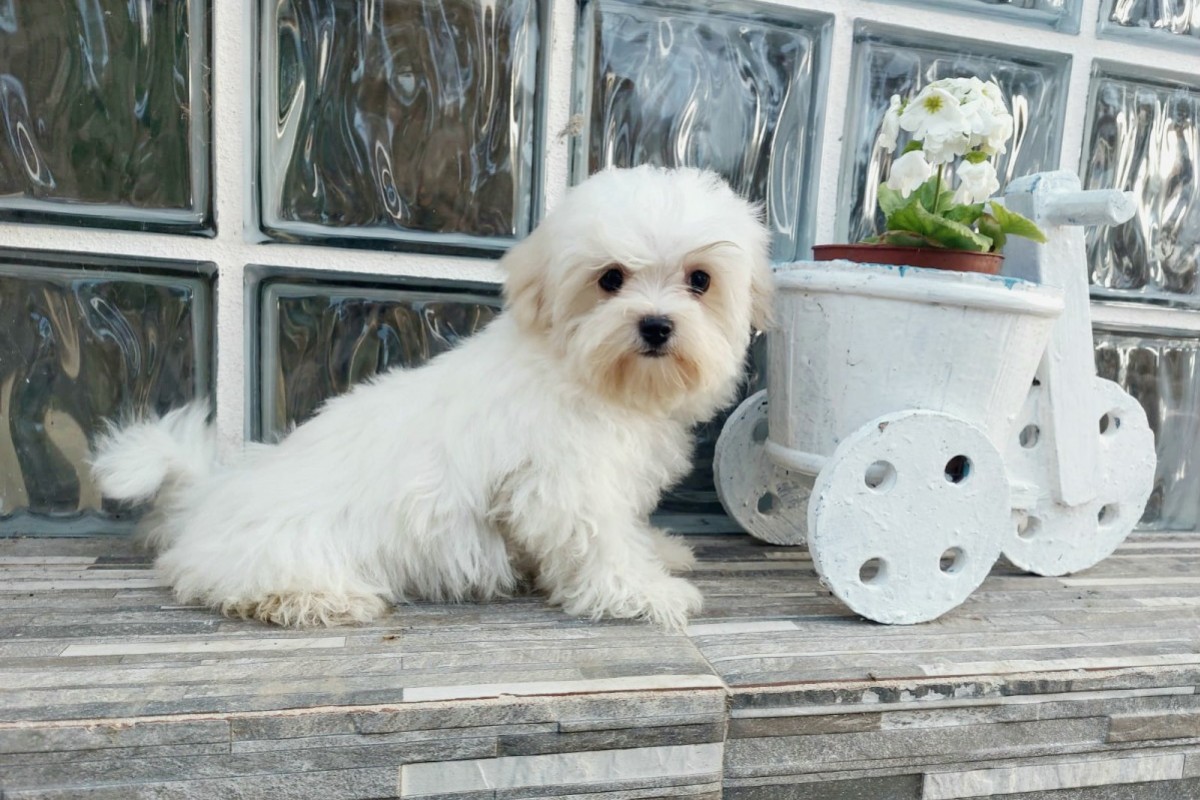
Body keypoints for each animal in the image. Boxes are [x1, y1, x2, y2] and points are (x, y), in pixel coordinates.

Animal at [91, 167, 768, 633]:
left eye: (700, 280)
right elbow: (600, 540)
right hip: (289, 542)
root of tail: (209, 496)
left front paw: (660, 553)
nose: (655, 325)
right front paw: (645, 592)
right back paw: (318, 599)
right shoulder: (566, 484)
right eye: (610, 279)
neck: (586, 374)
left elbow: (622, 528)